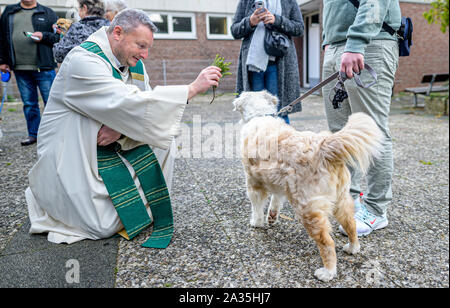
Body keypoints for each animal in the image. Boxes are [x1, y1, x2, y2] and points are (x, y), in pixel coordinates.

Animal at [232, 91, 384, 282]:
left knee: (327, 242)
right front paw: (272, 217)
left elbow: (257, 207)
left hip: (308, 209)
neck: (260, 115)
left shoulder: (253, 183)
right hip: (341, 199)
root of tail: (325, 147)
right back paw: (352, 247)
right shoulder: (278, 182)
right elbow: (276, 200)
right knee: (351, 224)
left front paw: (257, 222)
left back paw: (328, 272)